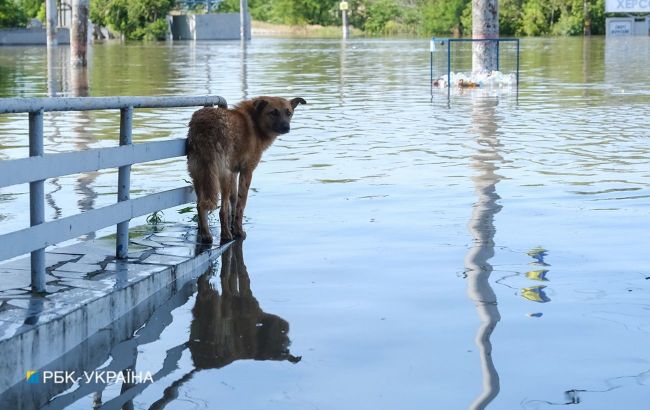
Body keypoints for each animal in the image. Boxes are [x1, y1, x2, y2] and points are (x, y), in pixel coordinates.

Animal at [186, 96, 306, 243]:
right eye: (273, 112)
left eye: (288, 113)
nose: (286, 127)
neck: (256, 121)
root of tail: (204, 125)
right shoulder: (246, 171)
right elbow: (240, 204)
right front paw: (238, 231)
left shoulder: (234, 172)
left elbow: (234, 200)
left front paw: (233, 226)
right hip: (221, 176)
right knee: (222, 210)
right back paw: (226, 235)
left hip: (199, 174)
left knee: (200, 205)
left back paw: (206, 235)